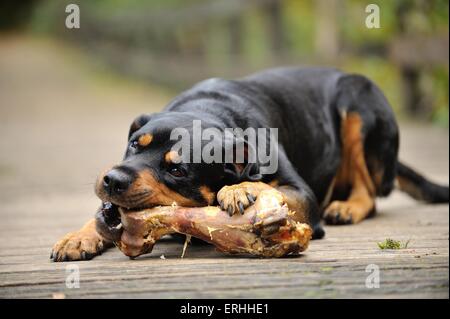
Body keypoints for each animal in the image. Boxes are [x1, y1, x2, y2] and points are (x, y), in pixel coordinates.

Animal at [50, 67, 450, 262]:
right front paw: (78, 236)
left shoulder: (303, 195)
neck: (208, 112)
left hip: (357, 100)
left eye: (177, 170)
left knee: (370, 191)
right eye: (135, 144)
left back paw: (349, 206)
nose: (112, 179)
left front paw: (239, 188)